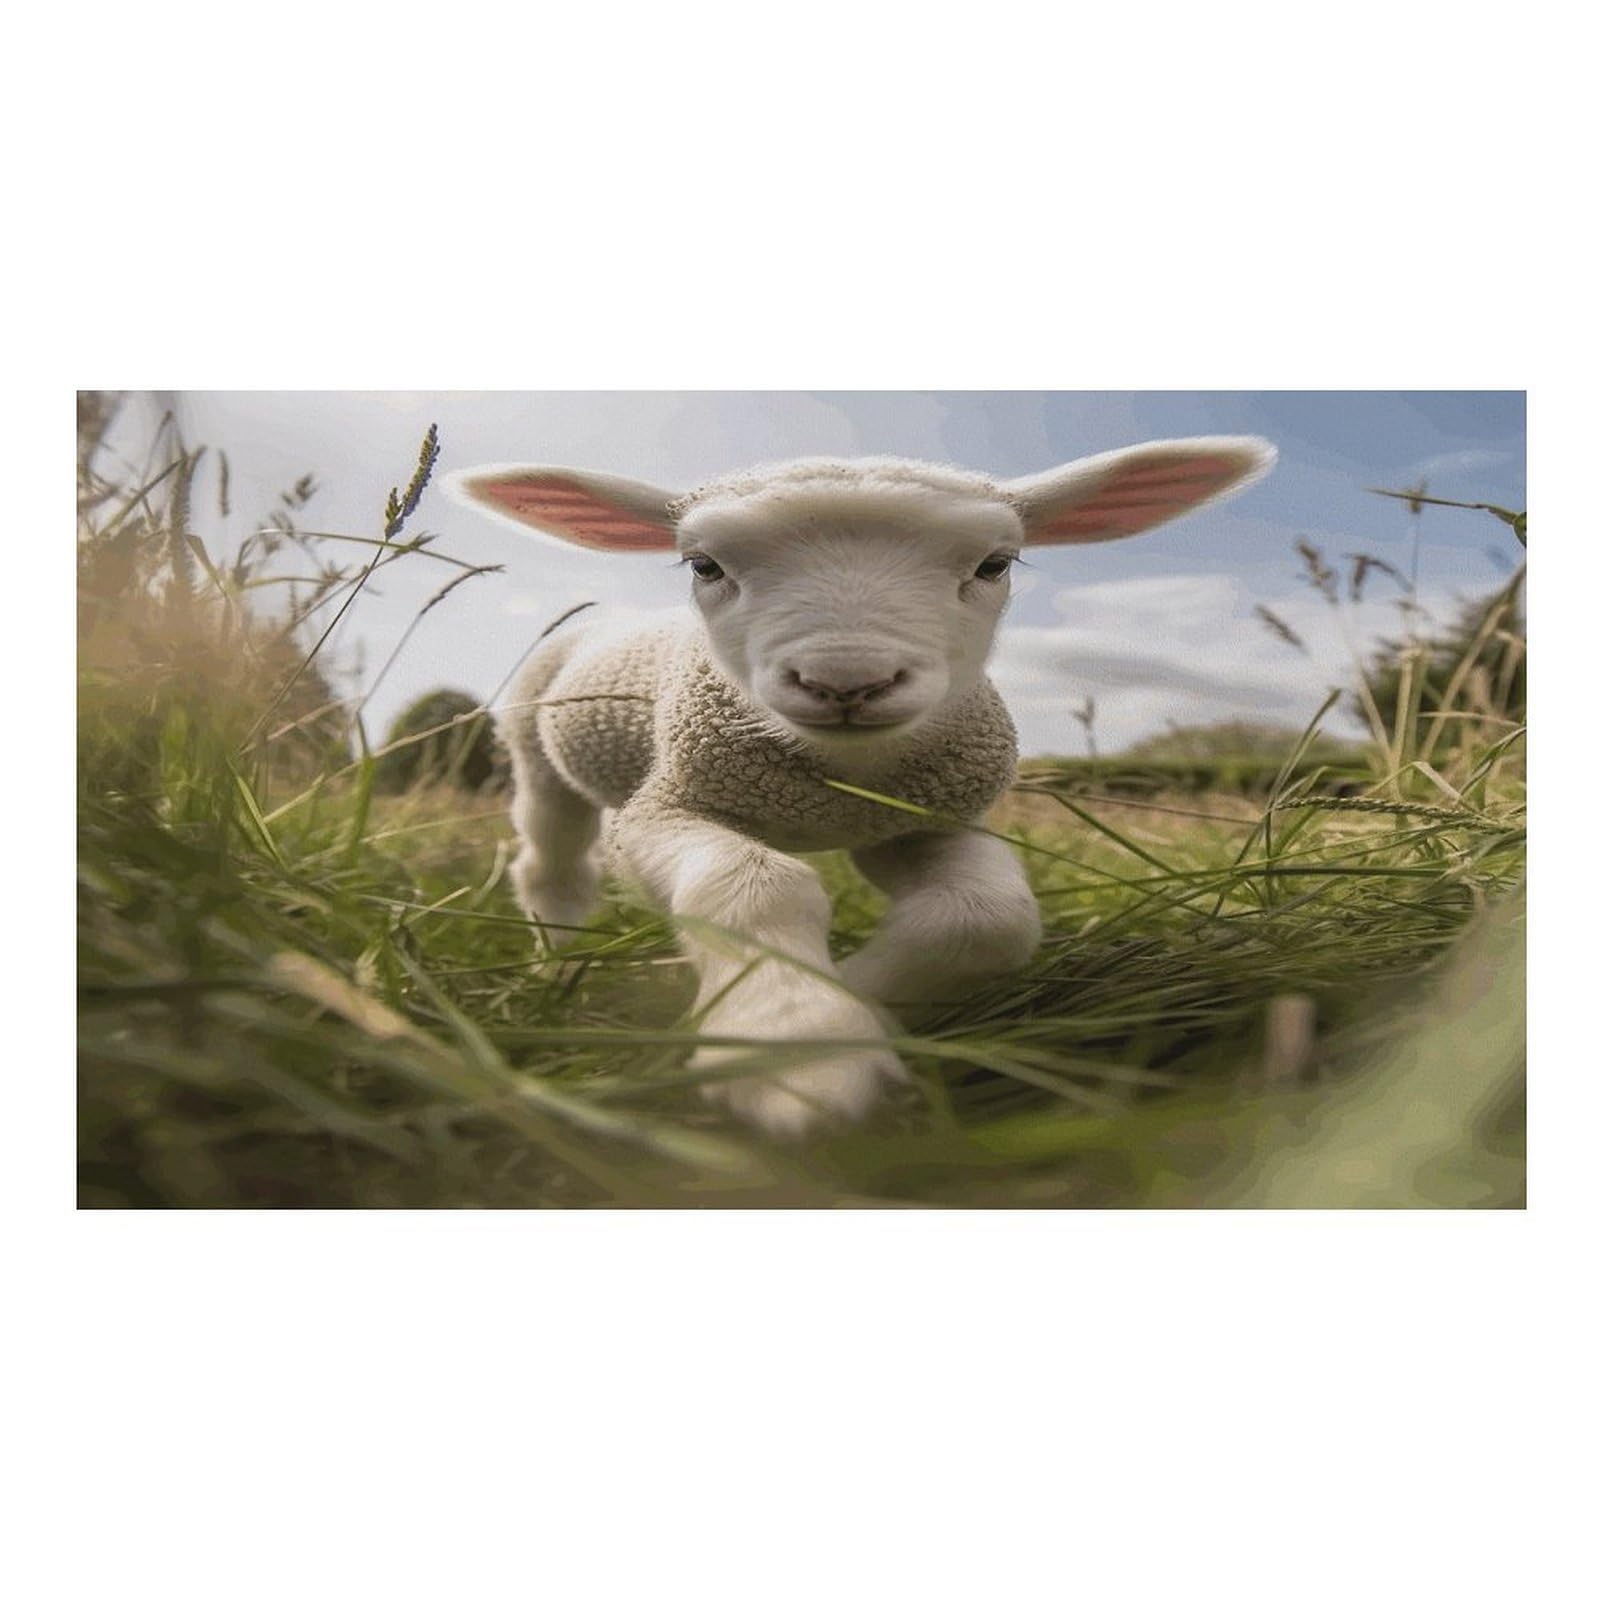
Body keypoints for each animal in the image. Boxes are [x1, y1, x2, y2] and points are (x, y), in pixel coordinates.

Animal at [449, 438, 1277, 1135]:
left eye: (996, 563)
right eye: (704, 566)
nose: (846, 680)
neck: (836, 786)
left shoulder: (925, 818)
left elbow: (985, 918)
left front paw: (861, 999)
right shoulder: (663, 808)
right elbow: (752, 883)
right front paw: (797, 1042)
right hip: (536, 753)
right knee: (553, 863)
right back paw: (558, 967)